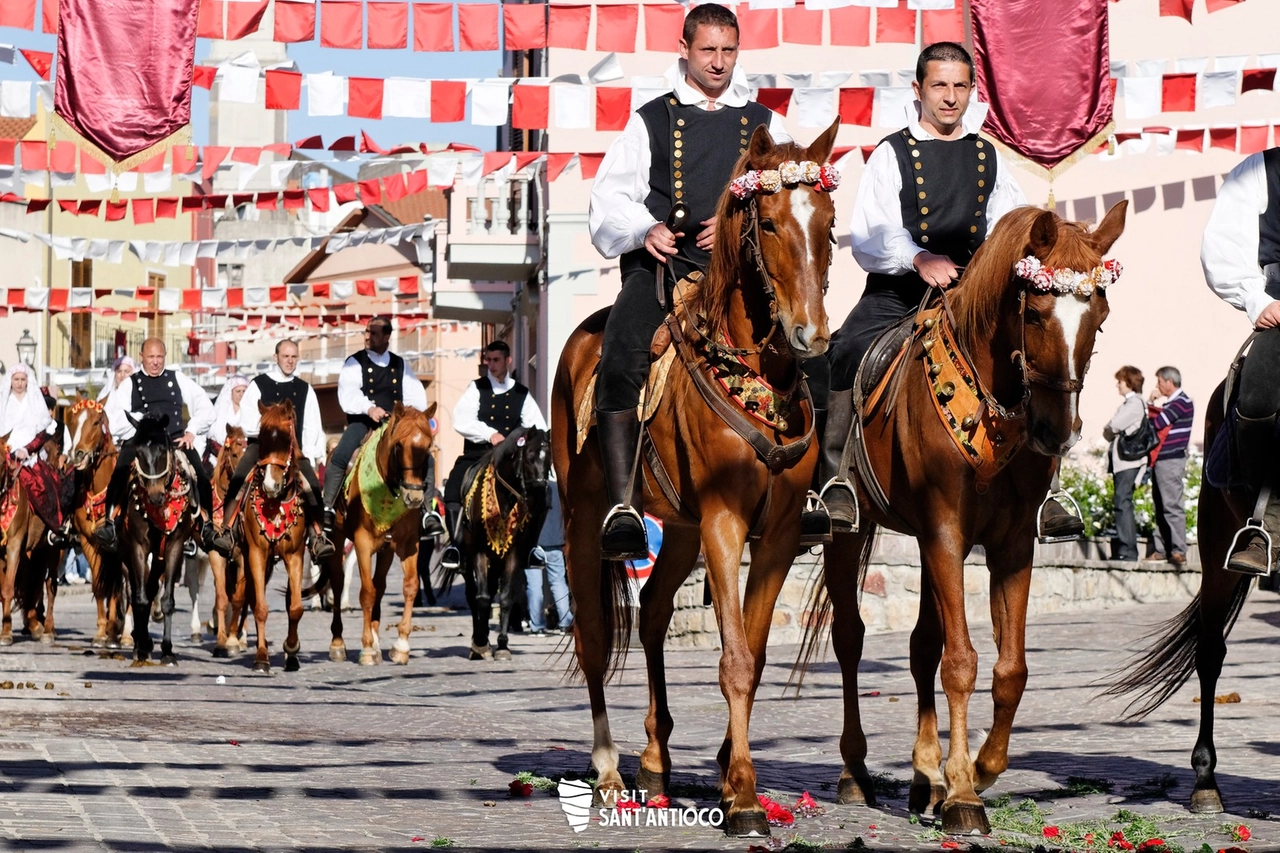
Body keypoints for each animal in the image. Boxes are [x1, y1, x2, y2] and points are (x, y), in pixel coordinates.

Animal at [65, 399, 128, 645]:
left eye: (96, 421)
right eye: (72, 422)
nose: (77, 454)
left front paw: (119, 632)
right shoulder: (89, 543)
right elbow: (101, 586)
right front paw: (103, 632)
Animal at [307, 404, 437, 666]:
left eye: (428, 445)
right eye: (399, 445)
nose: (415, 497)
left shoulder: (409, 545)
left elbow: (409, 587)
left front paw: (401, 645)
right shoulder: (362, 544)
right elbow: (366, 592)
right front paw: (366, 648)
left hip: (386, 550)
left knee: (380, 584)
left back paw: (377, 641)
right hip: (338, 540)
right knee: (339, 583)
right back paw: (339, 643)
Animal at [550, 119, 839, 829]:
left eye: (828, 223)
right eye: (768, 222)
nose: (811, 335)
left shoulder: (778, 534)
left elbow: (753, 658)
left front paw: (732, 777)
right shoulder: (724, 522)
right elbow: (732, 658)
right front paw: (744, 795)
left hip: (678, 530)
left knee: (654, 612)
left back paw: (655, 761)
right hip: (584, 522)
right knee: (595, 638)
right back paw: (607, 771)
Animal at [798, 199, 1131, 829]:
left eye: (1099, 316)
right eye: (1036, 313)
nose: (1057, 431)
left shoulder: (1008, 545)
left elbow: (1008, 669)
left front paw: (974, 770)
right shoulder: (947, 534)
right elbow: (960, 663)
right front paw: (962, 796)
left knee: (921, 645)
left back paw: (924, 775)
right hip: (851, 533)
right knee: (851, 639)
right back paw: (857, 773)